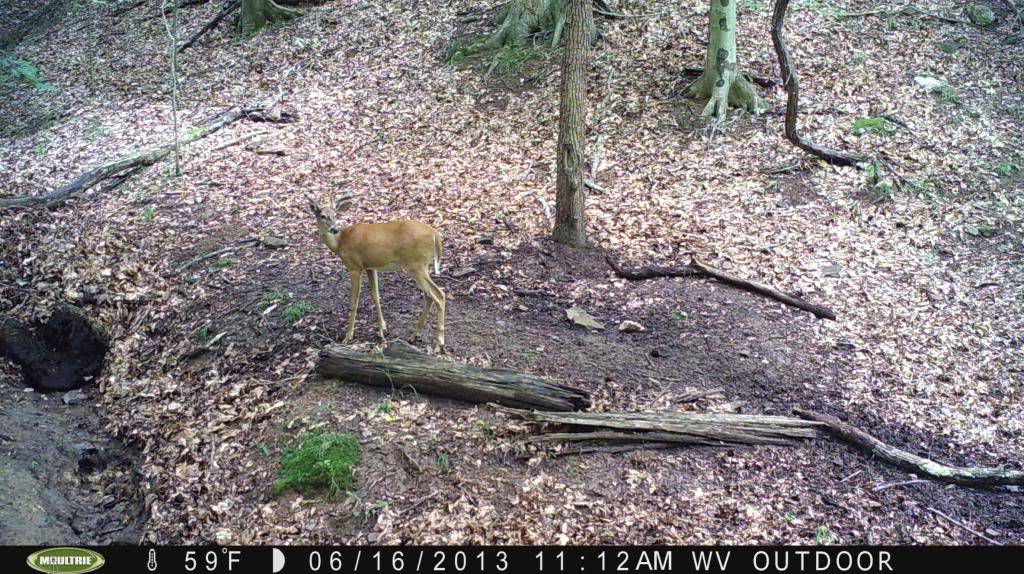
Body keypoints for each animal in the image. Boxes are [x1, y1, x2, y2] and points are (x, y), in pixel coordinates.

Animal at [305, 194, 446, 351]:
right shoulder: (370, 267)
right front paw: (382, 328)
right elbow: (376, 296)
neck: (339, 243)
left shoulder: (354, 267)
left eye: (335, 215)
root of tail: (435, 234)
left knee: (439, 294)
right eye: (322, 215)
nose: (334, 229)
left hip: (416, 265)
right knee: (429, 295)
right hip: (420, 266)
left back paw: (439, 343)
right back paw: (414, 335)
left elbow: (354, 301)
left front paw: (348, 336)